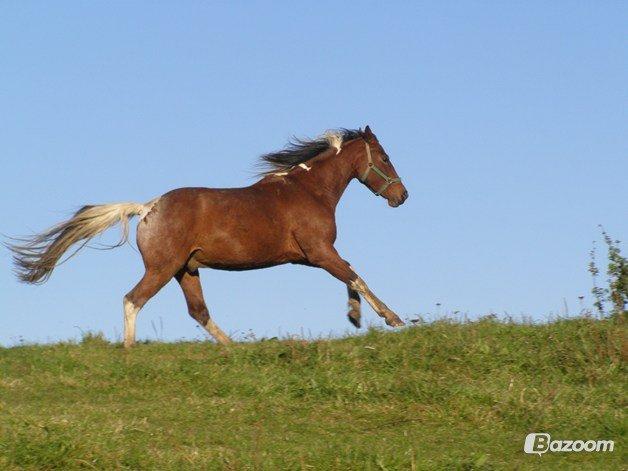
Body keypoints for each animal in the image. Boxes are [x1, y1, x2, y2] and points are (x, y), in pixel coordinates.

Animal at [11, 125, 412, 346]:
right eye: (386, 157)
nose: (402, 196)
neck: (308, 190)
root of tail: (147, 208)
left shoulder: (310, 256)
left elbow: (351, 274)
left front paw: (354, 317)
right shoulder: (318, 251)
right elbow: (356, 276)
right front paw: (392, 318)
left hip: (186, 269)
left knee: (198, 311)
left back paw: (233, 347)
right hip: (163, 268)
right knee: (133, 299)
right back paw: (129, 351)